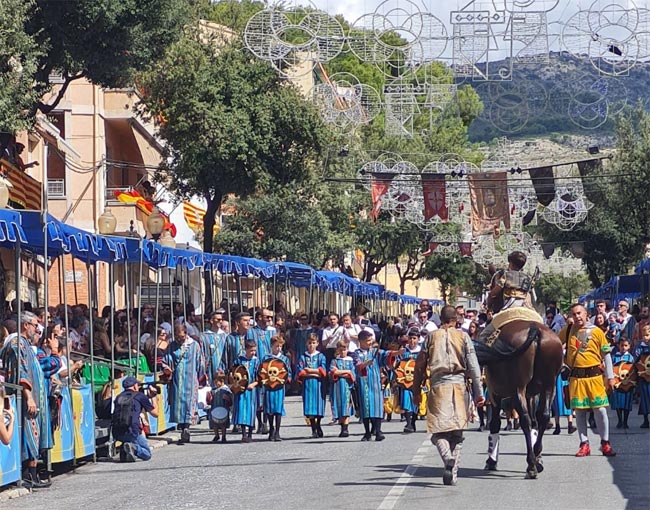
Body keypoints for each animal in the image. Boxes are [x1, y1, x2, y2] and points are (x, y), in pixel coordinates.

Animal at [476, 278, 560, 478]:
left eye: (492, 291)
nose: (486, 306)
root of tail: (535, 331)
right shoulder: (532, 393)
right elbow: (536, 419)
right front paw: (539, 458)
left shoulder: (494, 392)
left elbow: (495, 424)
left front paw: (491, 460)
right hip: (549, 385)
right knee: (542, 416)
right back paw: (536, 456)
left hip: (517, 389)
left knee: (525, 420)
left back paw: (531, 464)